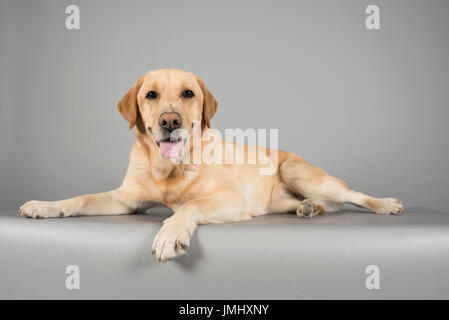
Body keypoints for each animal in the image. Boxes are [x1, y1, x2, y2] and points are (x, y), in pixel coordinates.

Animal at [18, 69, 402, 262]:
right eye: (150, 95)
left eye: (188, 93)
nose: (170, 121)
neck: (169, 170)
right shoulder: (125, 199)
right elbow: (80, 199)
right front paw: (43, 205)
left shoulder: (230, 199)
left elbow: (189, 205)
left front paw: (170, 234)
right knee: (317, 204)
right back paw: (308, 208)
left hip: (299, 172)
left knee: (354, 195)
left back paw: (385, 203)